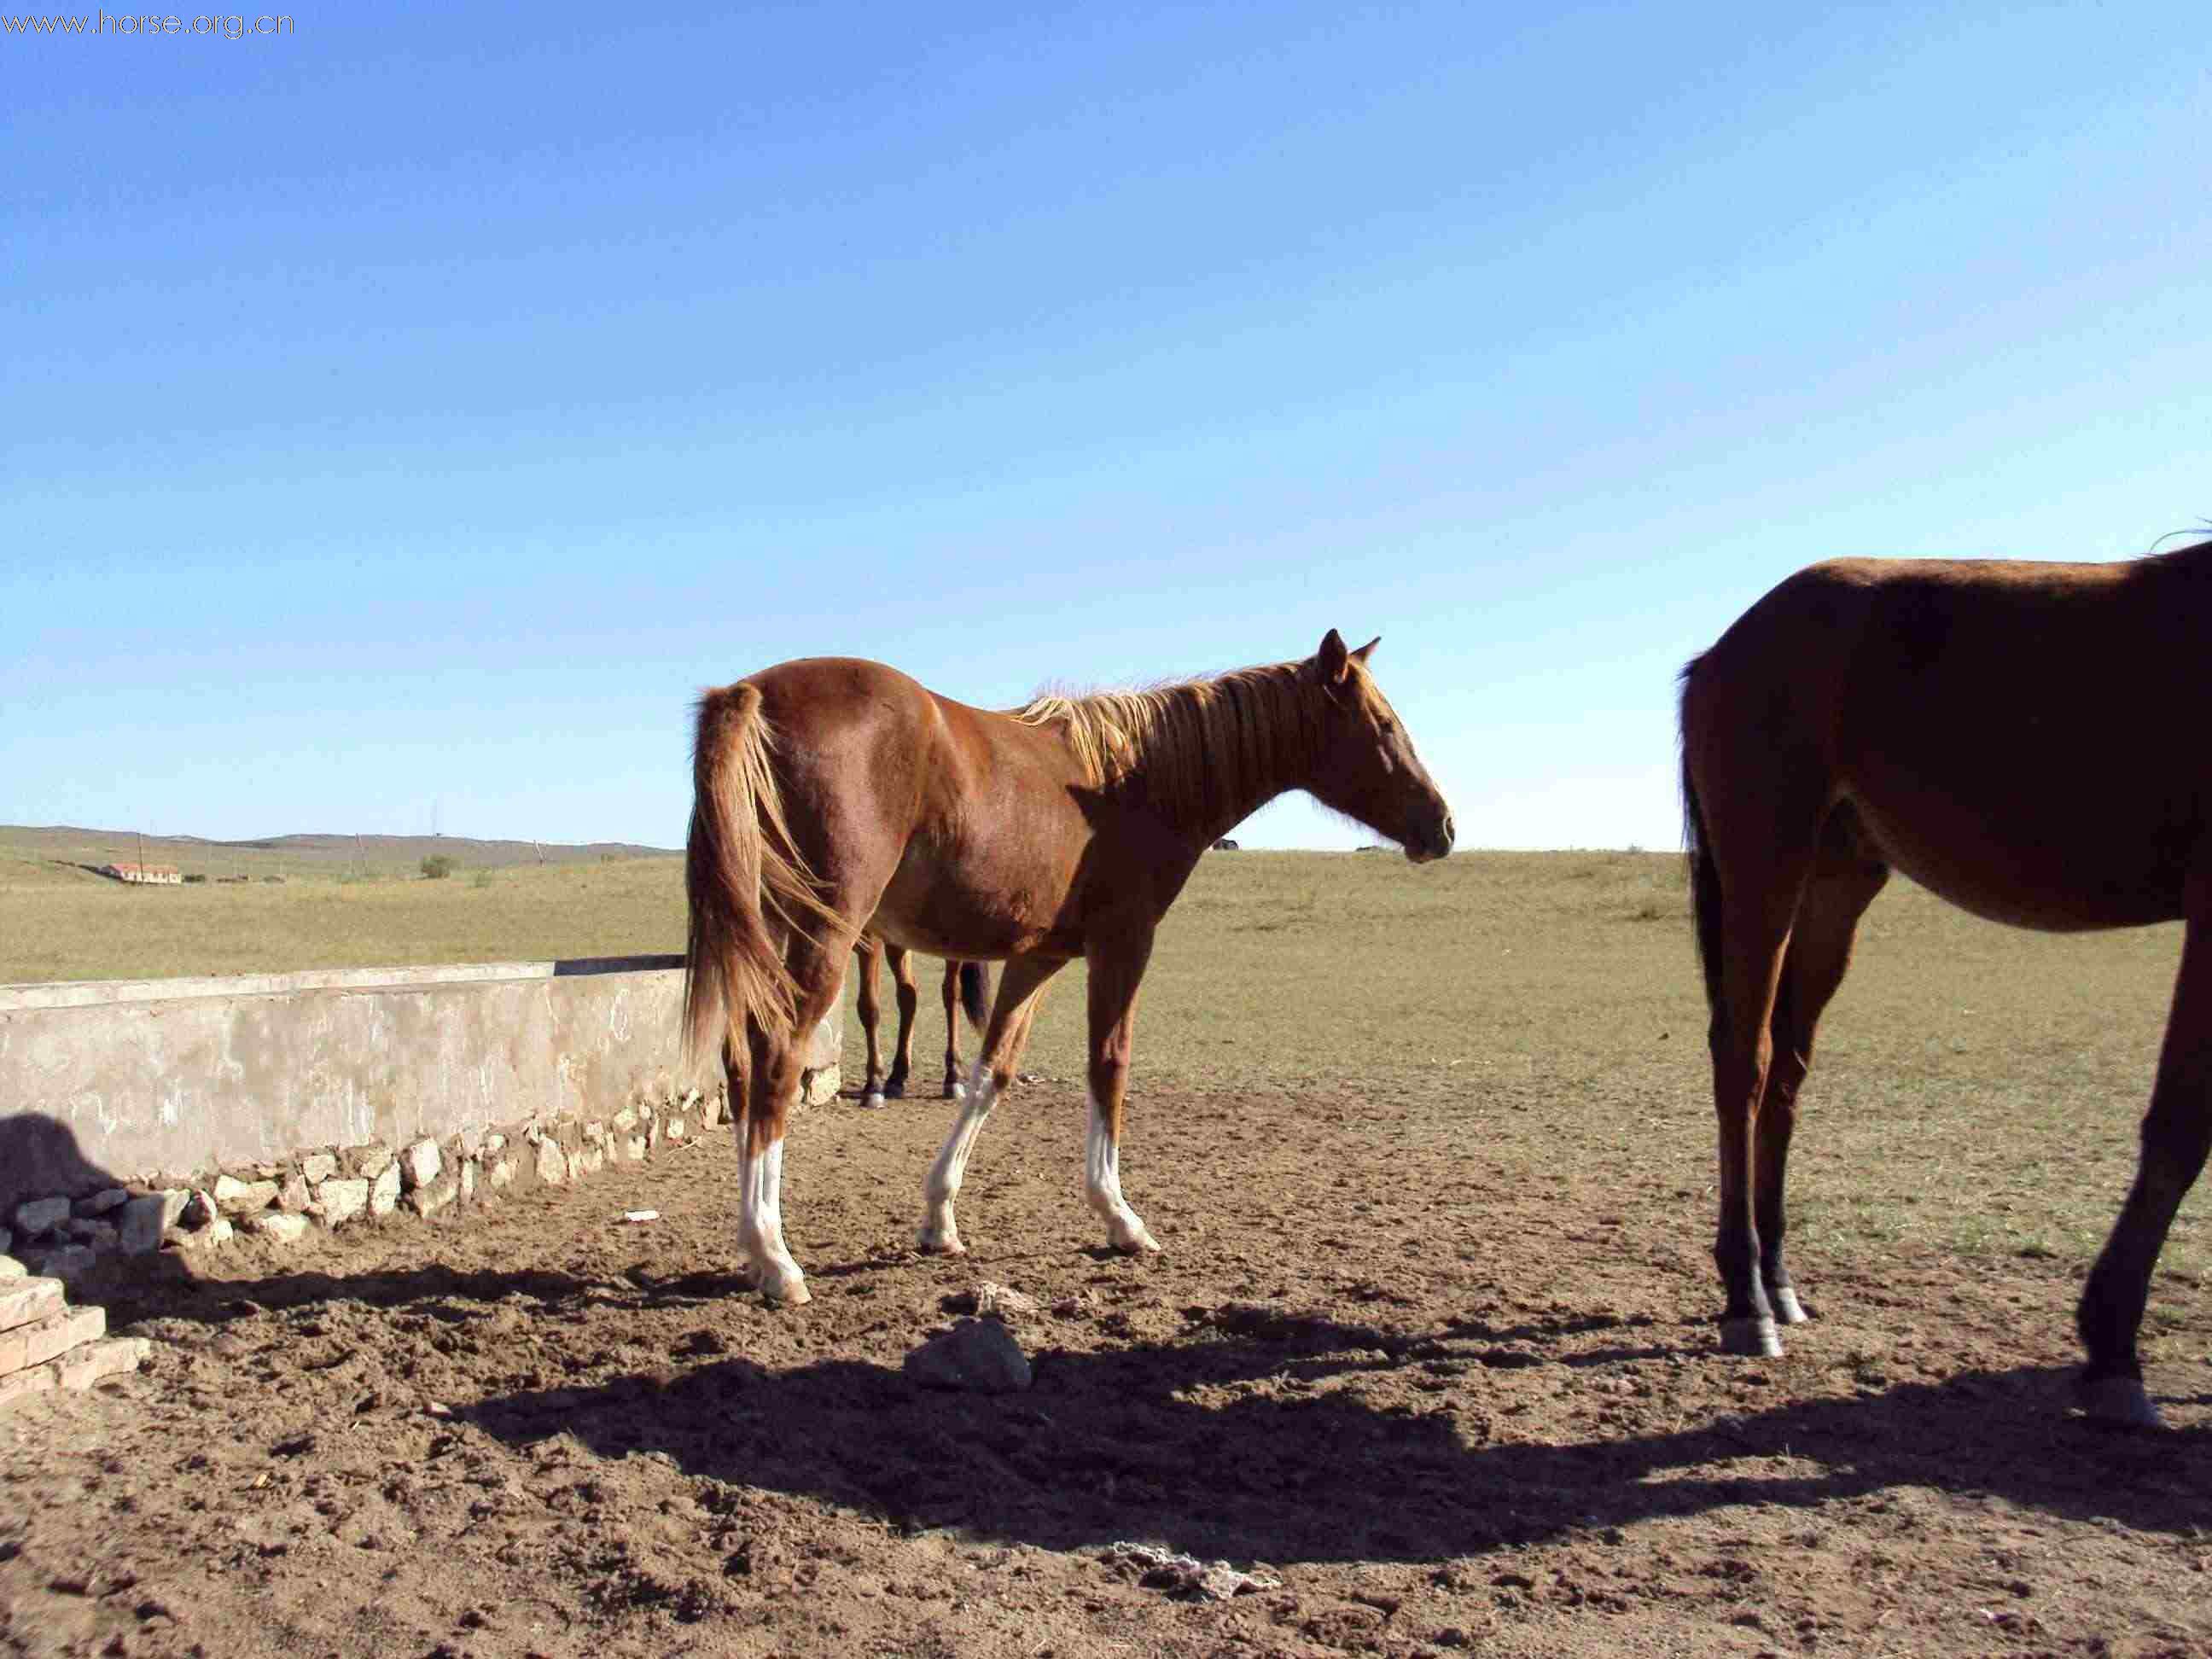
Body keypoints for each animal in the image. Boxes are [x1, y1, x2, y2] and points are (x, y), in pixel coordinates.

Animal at [845, 942, 987, 1110]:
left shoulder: (870, 944)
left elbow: (868, 1008)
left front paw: (873, 1085)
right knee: (909, 994)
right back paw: (897, 1078)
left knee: (951, 991)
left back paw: (954, 1077)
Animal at [1680, 542, 2212, 1433]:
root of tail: (1722, 651)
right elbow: (2179, 1127)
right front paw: (2112, 1353)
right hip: (1766, 865)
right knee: (1742, 1060)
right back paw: (1746, 1300)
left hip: (1835, 885)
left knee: (1786, 1065)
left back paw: (1779, 1280)